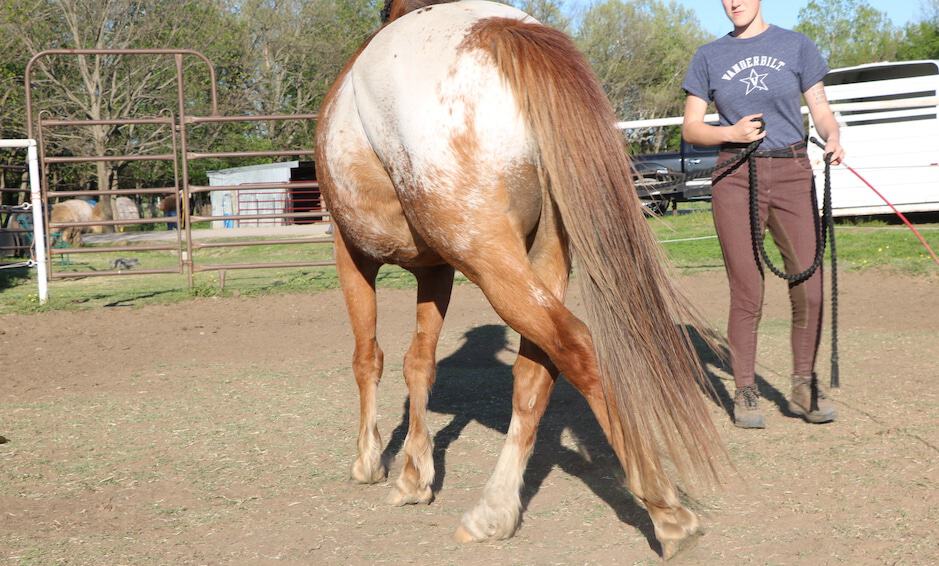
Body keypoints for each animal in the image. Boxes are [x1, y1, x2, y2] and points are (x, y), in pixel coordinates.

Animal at [315, 0, 726, 558]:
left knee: (577, 346)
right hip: (543, 256)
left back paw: (667, 512)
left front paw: (370, 461)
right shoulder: (435, 269)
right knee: (536, 370)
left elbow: (368, 358)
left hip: (489, 258)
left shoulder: (351, 252)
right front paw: (415, 476)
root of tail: (500, 30)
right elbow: (419, 362)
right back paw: (493, 512)